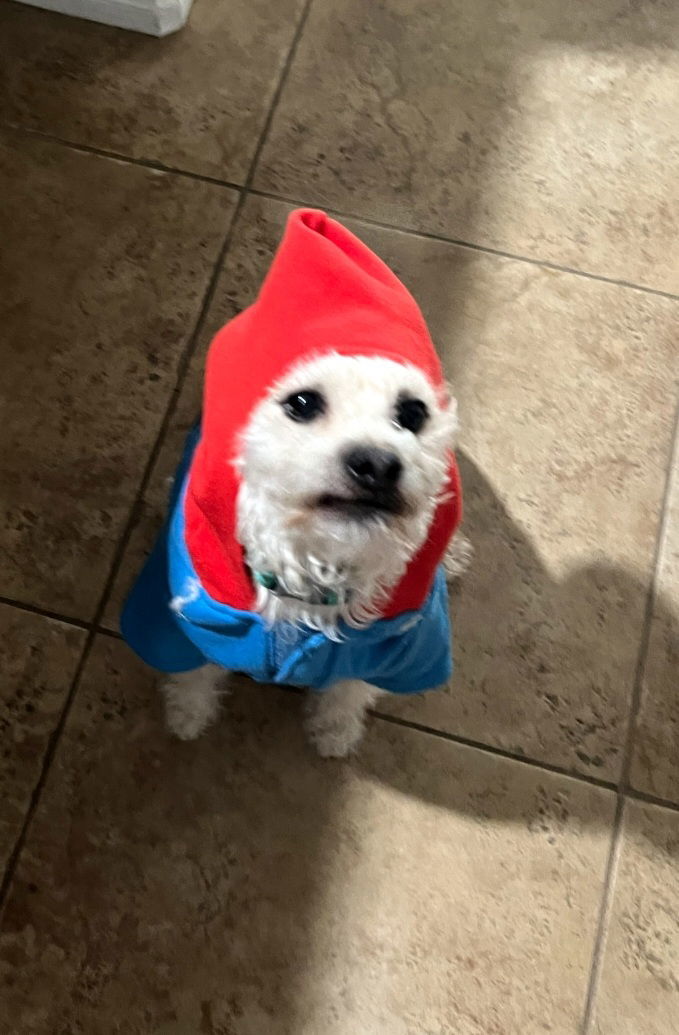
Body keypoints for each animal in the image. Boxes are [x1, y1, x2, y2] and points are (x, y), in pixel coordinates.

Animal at [160, 351, 467, 757]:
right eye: (302, 403)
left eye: (413, 412)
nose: (377, 465)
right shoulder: (192, 625)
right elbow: (193, 672)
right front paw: (187, 713)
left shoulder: (397, 652)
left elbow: (350, 688)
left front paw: (336, 729)